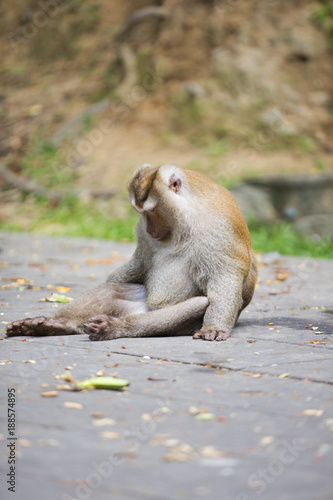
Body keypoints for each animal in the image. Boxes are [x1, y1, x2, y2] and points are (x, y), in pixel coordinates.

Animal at [6, 163, 258, 340]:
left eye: (153, 210)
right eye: (141, 213)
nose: (150, 229)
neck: (186, 214)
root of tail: (140, 310)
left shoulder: (218, 230)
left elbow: (223, 278)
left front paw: (214, 327)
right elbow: (140, 263)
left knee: (199, 303)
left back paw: (116, 328)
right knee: (110, 290)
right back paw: (59, 325)